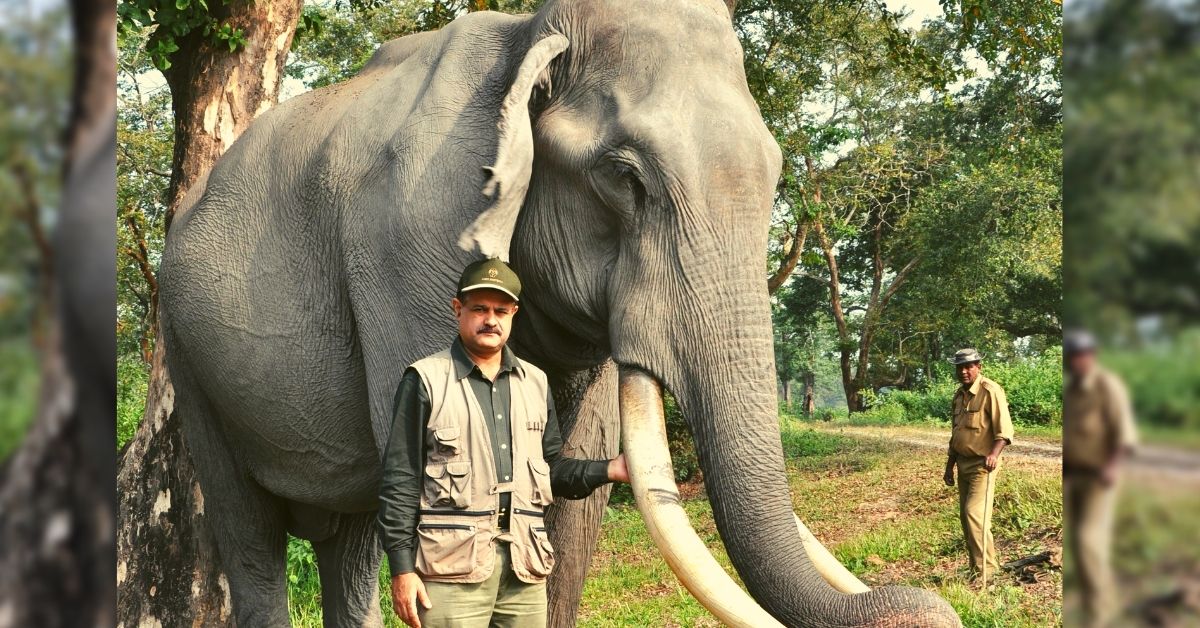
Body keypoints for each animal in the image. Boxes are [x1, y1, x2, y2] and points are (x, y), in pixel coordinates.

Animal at [159, 1, 964, 628]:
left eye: (774, 175)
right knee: (252, 537)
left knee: (352, 541)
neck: (532, 33)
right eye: (625, 177)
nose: (922, 607)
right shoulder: (408, 244)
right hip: (189, 358)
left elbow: (563, 500)